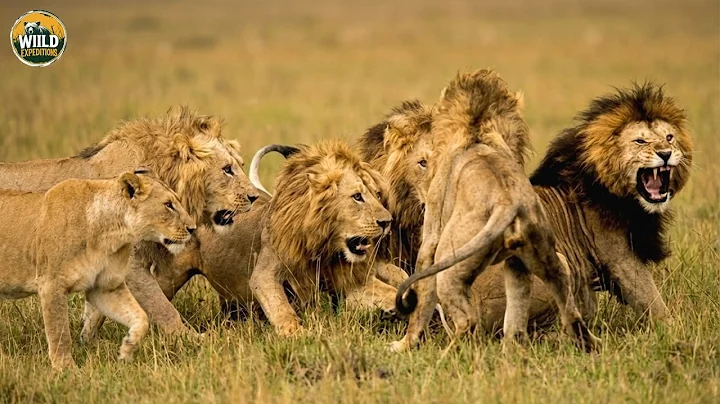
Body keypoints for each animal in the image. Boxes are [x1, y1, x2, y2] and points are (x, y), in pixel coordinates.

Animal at [0, 106, 260, 337]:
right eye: (227, 169)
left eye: (240, 166)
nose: (255, 197)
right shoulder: (131, 266)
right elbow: (164, 310)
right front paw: (194, 341)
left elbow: (94, 315)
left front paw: (86, 344)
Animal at [0, 169, 196, 369]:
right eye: (168, 205)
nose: (193, 228)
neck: (111, 233)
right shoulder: (51, 284)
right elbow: (60, 332)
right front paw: (66, 369)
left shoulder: (104, 287)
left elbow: (141, 317)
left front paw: (127, 347)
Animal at [387, 70, 598, 352]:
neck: (477, 128)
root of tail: (507, 202)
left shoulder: (430, 238)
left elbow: (421, 301)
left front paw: (403, 345)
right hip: (548, 261)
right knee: (562, 313)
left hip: (450, 262)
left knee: (467, 321)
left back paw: (448, 353)